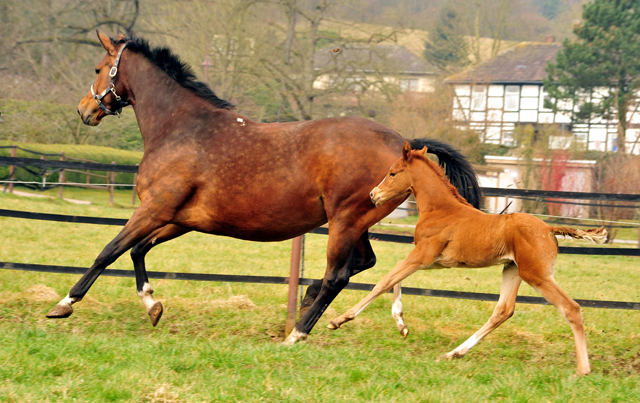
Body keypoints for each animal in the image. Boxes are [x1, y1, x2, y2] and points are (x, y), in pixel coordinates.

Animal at [330, 144, 604, 378]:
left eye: (392, 173)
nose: (373, 195)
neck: (440, 209)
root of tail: (548, 228)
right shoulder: (430, 259)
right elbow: (395, 278)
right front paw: (402, 325)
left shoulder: (423, 255)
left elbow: (384, 281)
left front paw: (339, 320)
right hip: (512, 270)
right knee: (503, 311)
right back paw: (453, 353)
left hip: (536, 275)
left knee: (571, 308)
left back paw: (583, 370)